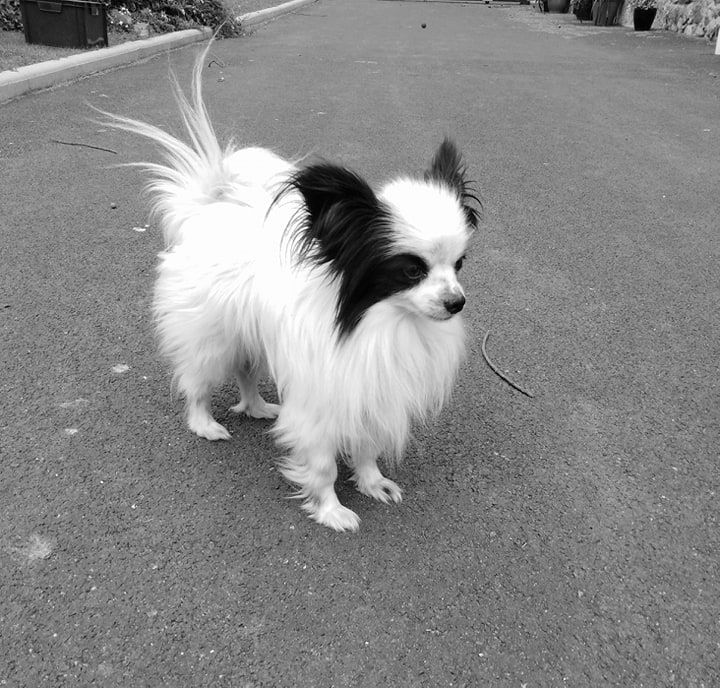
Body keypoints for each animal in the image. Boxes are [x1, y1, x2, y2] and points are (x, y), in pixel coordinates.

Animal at [106, 44, 479, 531]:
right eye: (411, 270)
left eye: (459, 264)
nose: (457, 302)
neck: (383, 323)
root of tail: (206, 211)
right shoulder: (323, 402)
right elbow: (322, 465)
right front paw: (331, 509)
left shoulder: (372, 393)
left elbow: (366, 449)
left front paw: (372, 483)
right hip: (212, 339)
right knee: (197, 382)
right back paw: (205, 424)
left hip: (249, 336)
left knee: (246, 373)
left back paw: (259, 408)